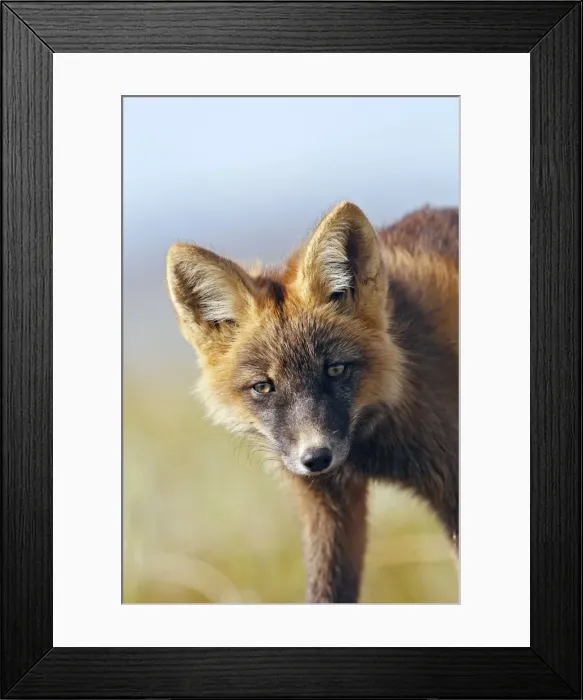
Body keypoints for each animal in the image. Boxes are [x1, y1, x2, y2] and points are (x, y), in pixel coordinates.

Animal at [166, 201, 458, 603]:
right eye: (263, 387)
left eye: (335, 369)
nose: (316, 458)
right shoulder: (327, 506)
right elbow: (325, 593)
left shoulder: (452, 485)